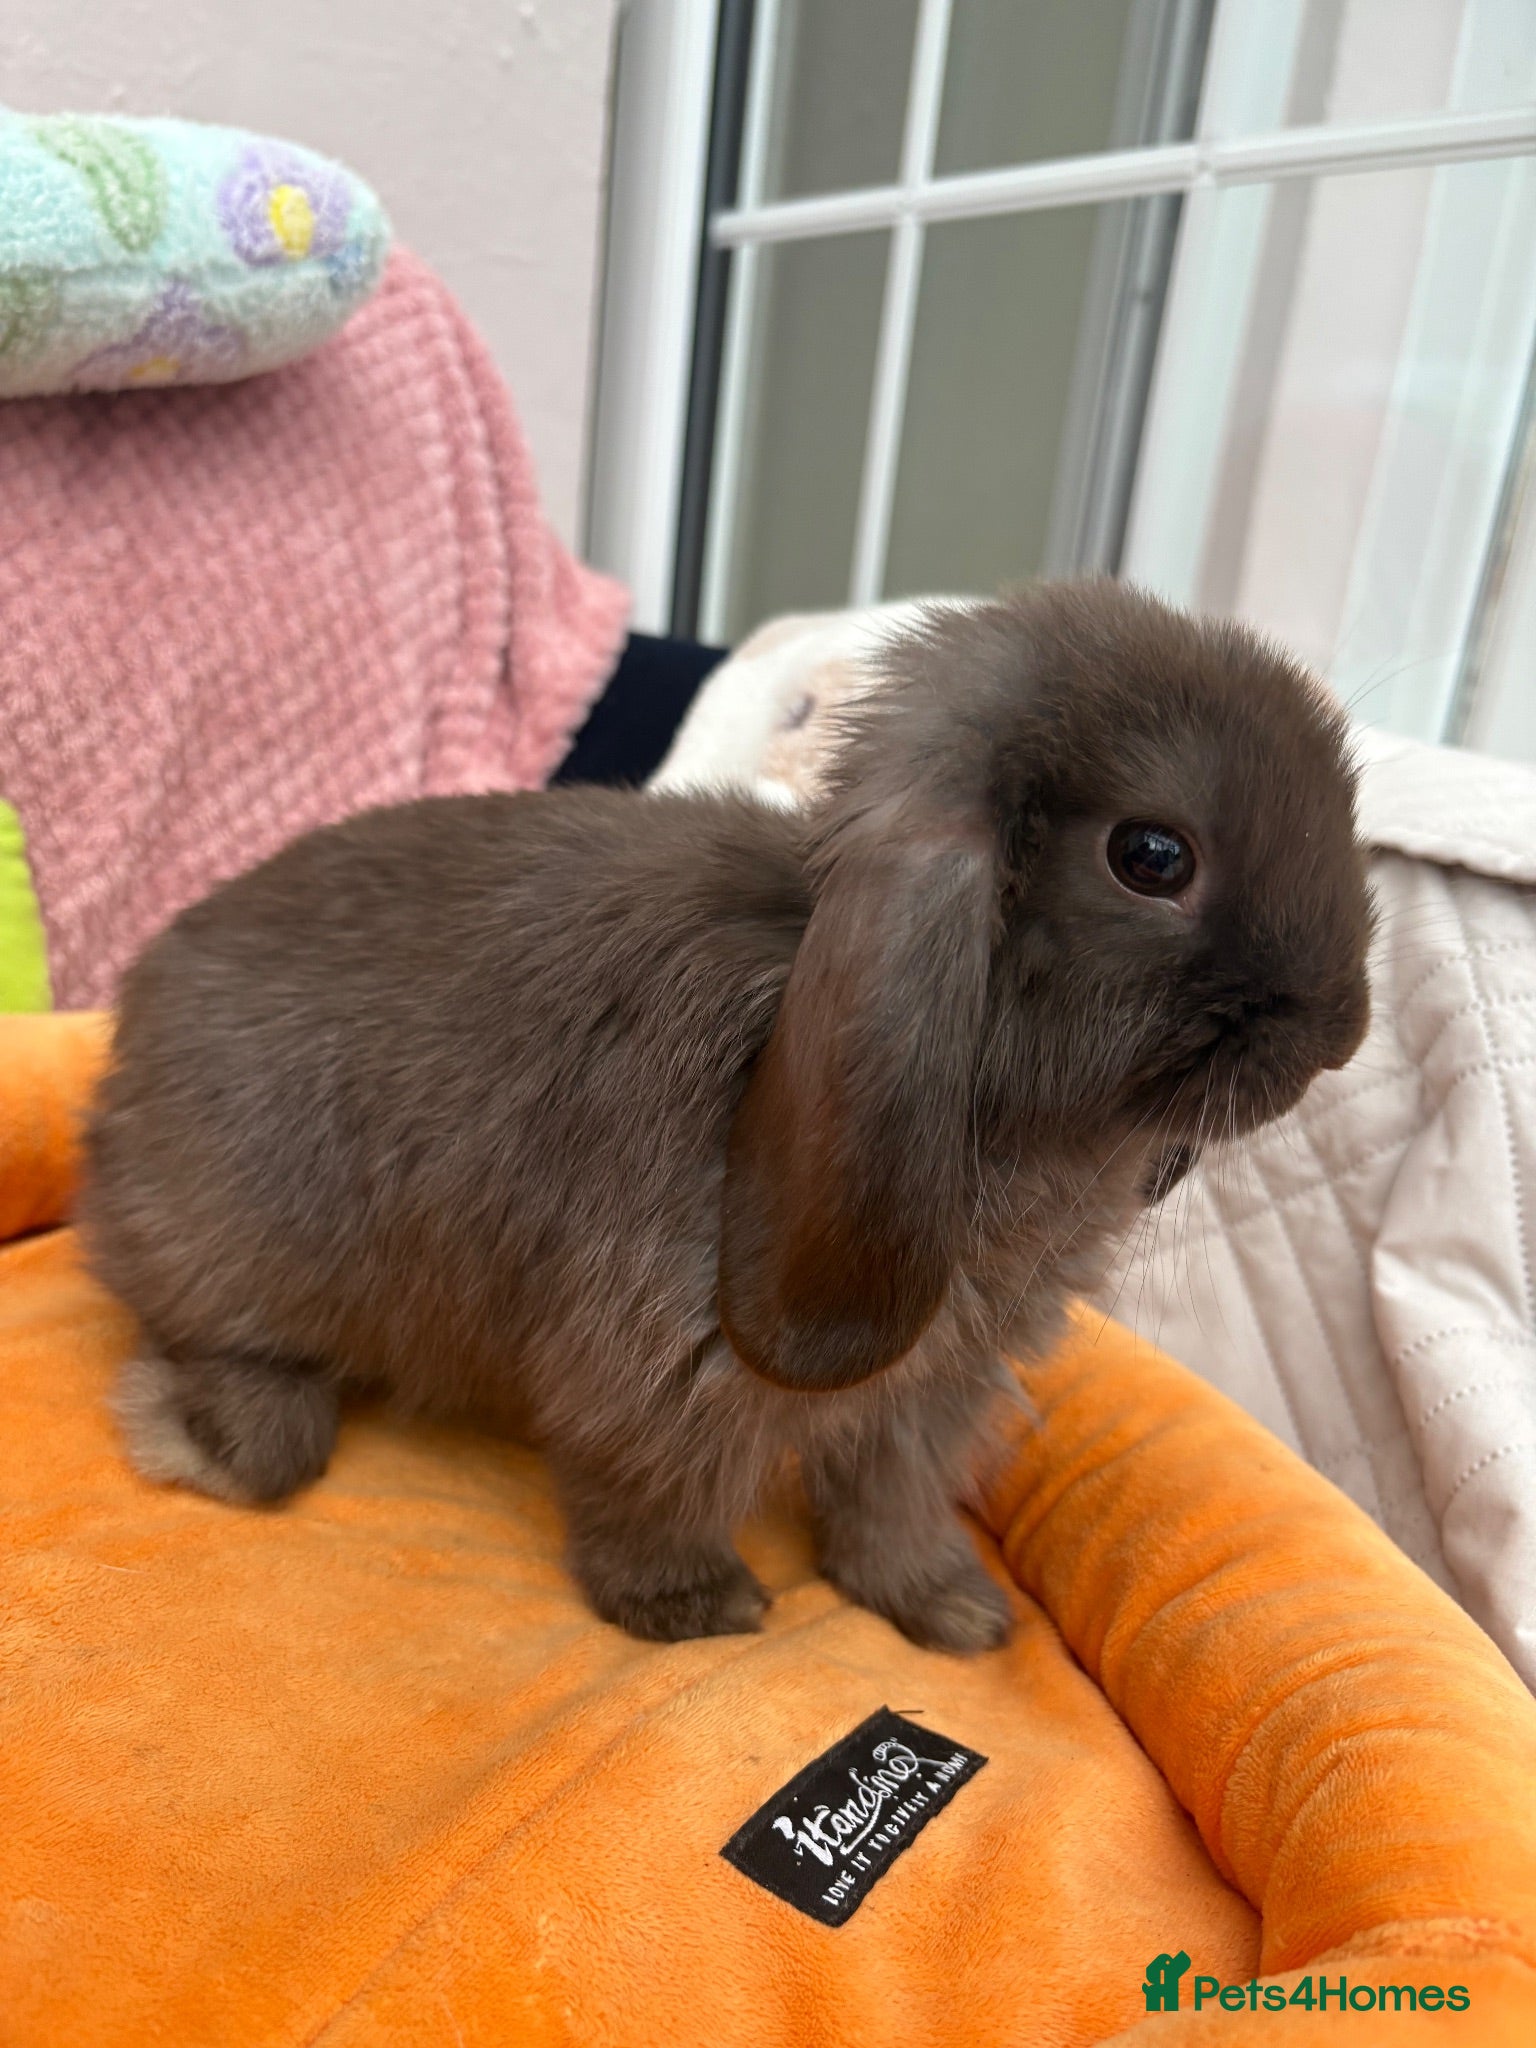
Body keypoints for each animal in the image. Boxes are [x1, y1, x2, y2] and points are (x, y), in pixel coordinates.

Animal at [79, 578, 1373, 1654]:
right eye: (1152, 855)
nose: (1342, 1032)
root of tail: (118, 1065)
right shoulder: (661, 1366)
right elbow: (652, 1488)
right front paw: (694, 1607)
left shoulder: (933, 1388)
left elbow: (893, 1500)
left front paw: (951, 1612)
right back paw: (219, 1428)